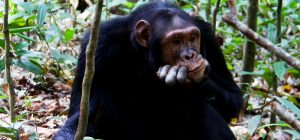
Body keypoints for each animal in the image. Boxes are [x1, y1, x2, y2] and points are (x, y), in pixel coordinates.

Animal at [53, 2, 241, 140]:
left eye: (192, 38)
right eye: (176, 41)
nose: (190, 55)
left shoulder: (207, 35)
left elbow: (233, 99)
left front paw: (192, 81)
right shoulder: (99, 45)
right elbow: (83, 115)